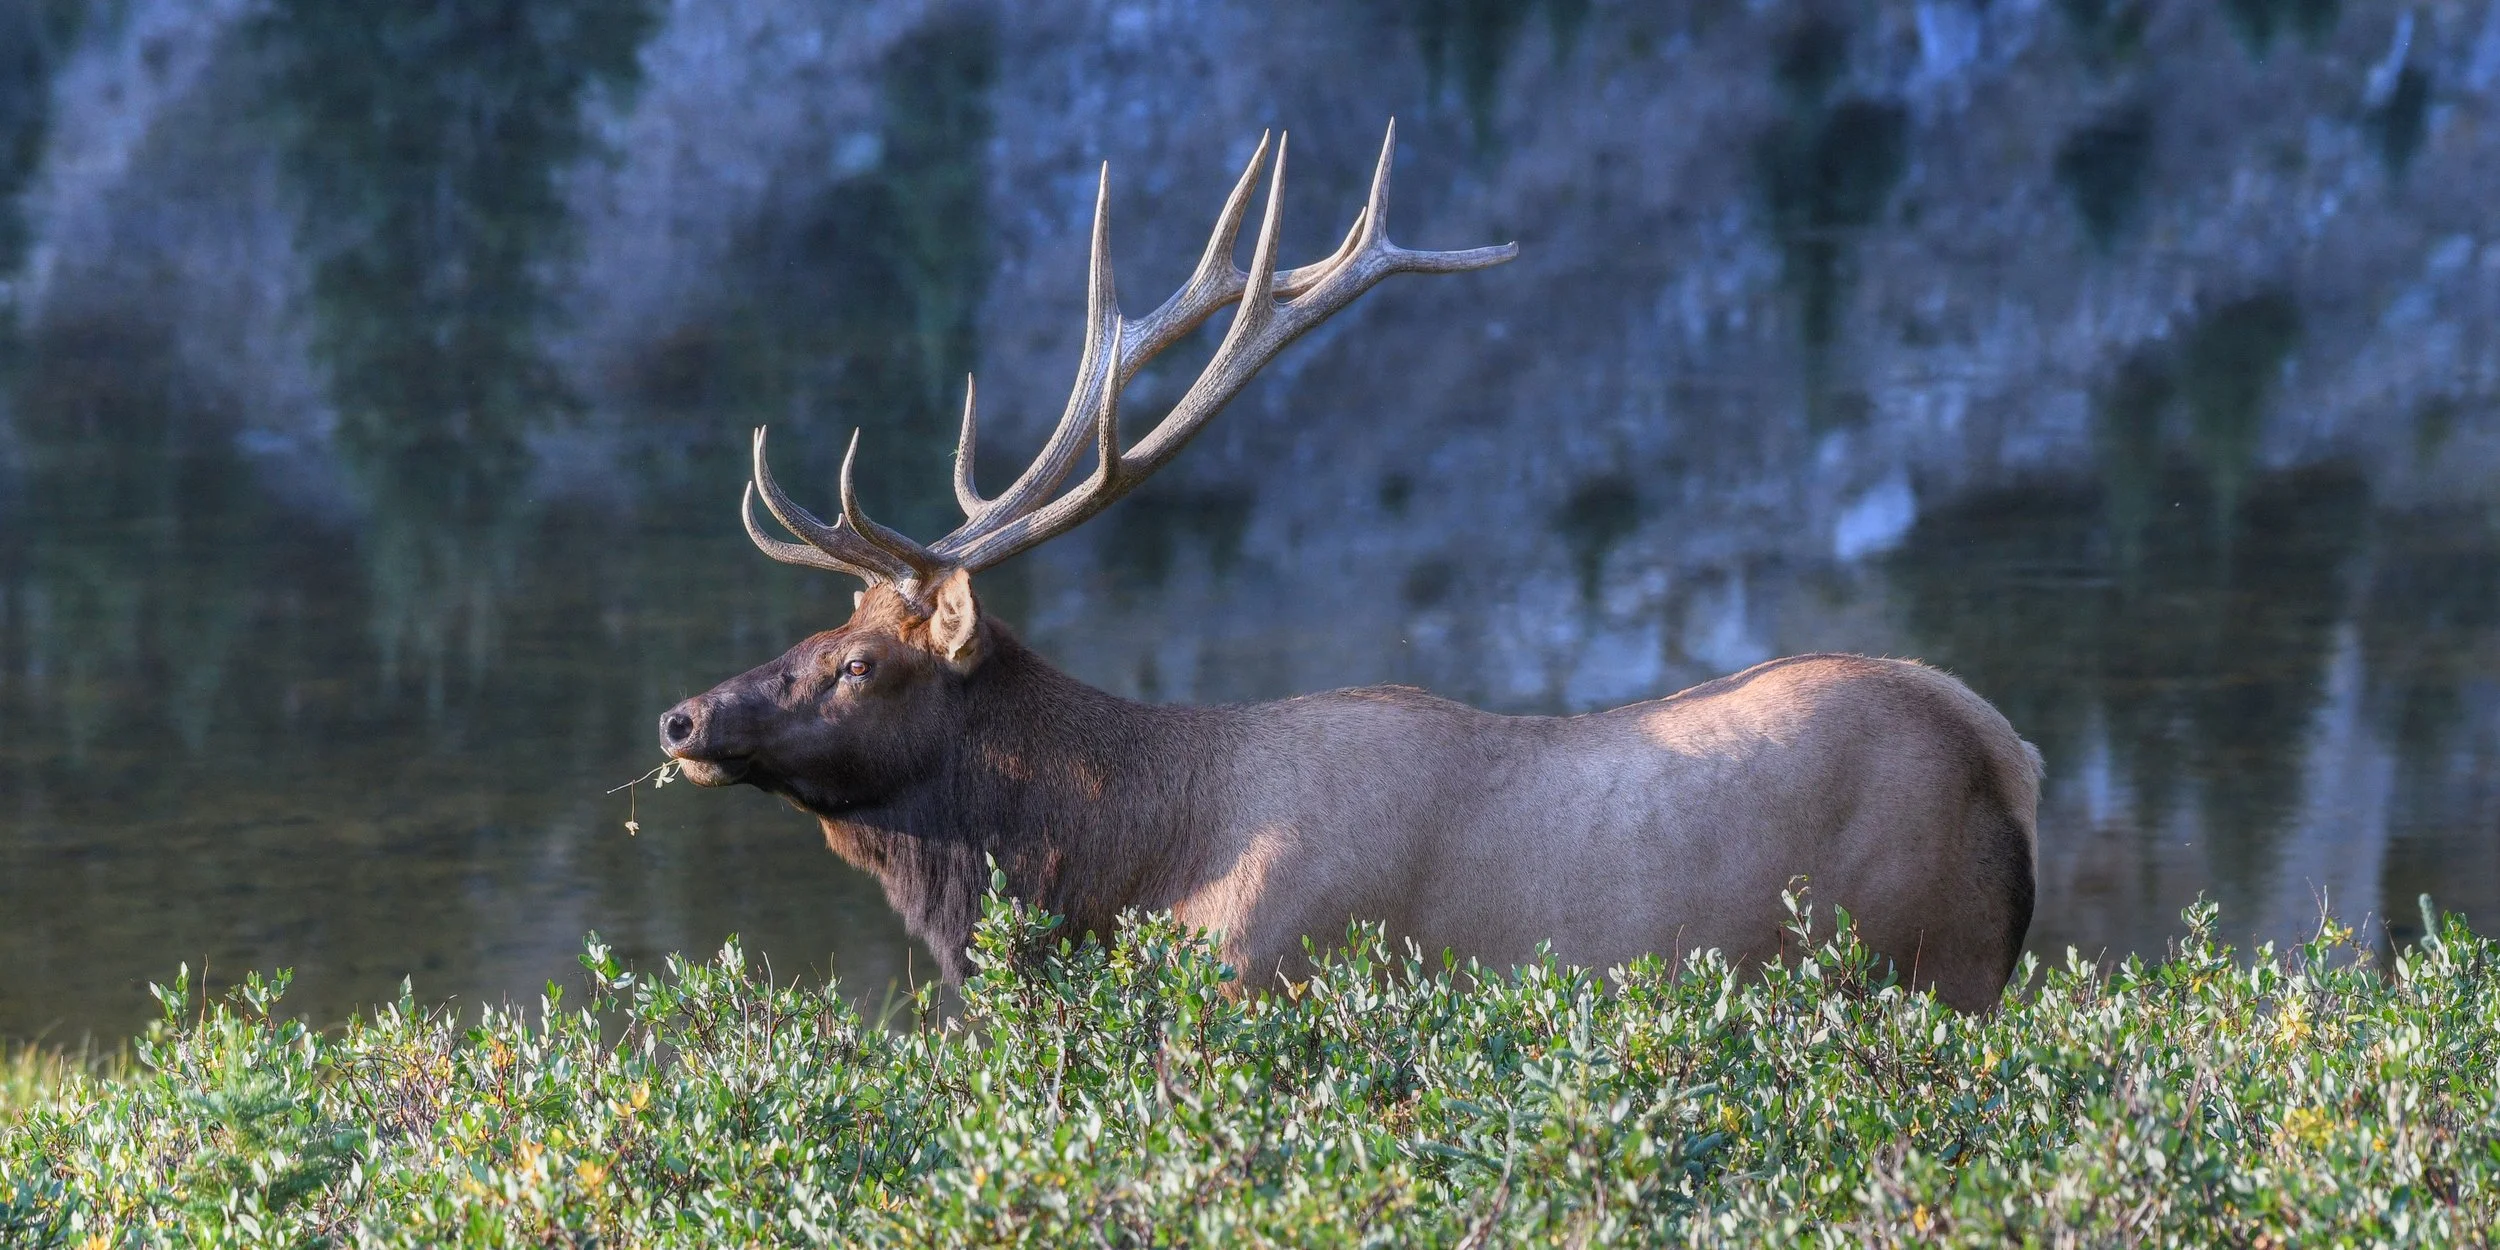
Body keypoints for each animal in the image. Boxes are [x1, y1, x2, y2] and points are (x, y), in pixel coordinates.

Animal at [658, 125, 2039, 1011]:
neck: (1128, 872)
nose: (681, 717)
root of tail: (2004, 750)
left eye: (858, 662)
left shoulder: (1272, 992)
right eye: (815, 634)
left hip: (1936, 970)